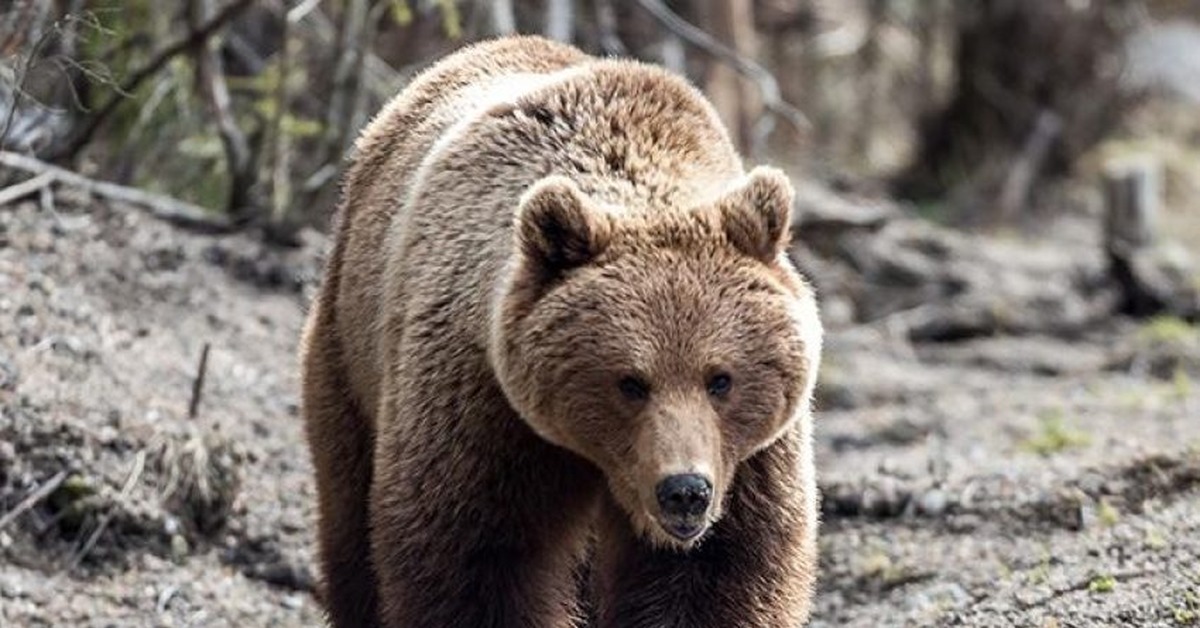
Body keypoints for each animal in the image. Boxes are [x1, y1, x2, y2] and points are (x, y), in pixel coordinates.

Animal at [300, 35, 825, 628]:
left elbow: (719, 572)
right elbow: (477, 558)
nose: (685, 491)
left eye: (721, 379)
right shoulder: (485, 408)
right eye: (630, 382)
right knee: (350, 517)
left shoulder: (751, 460)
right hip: (349, 349)